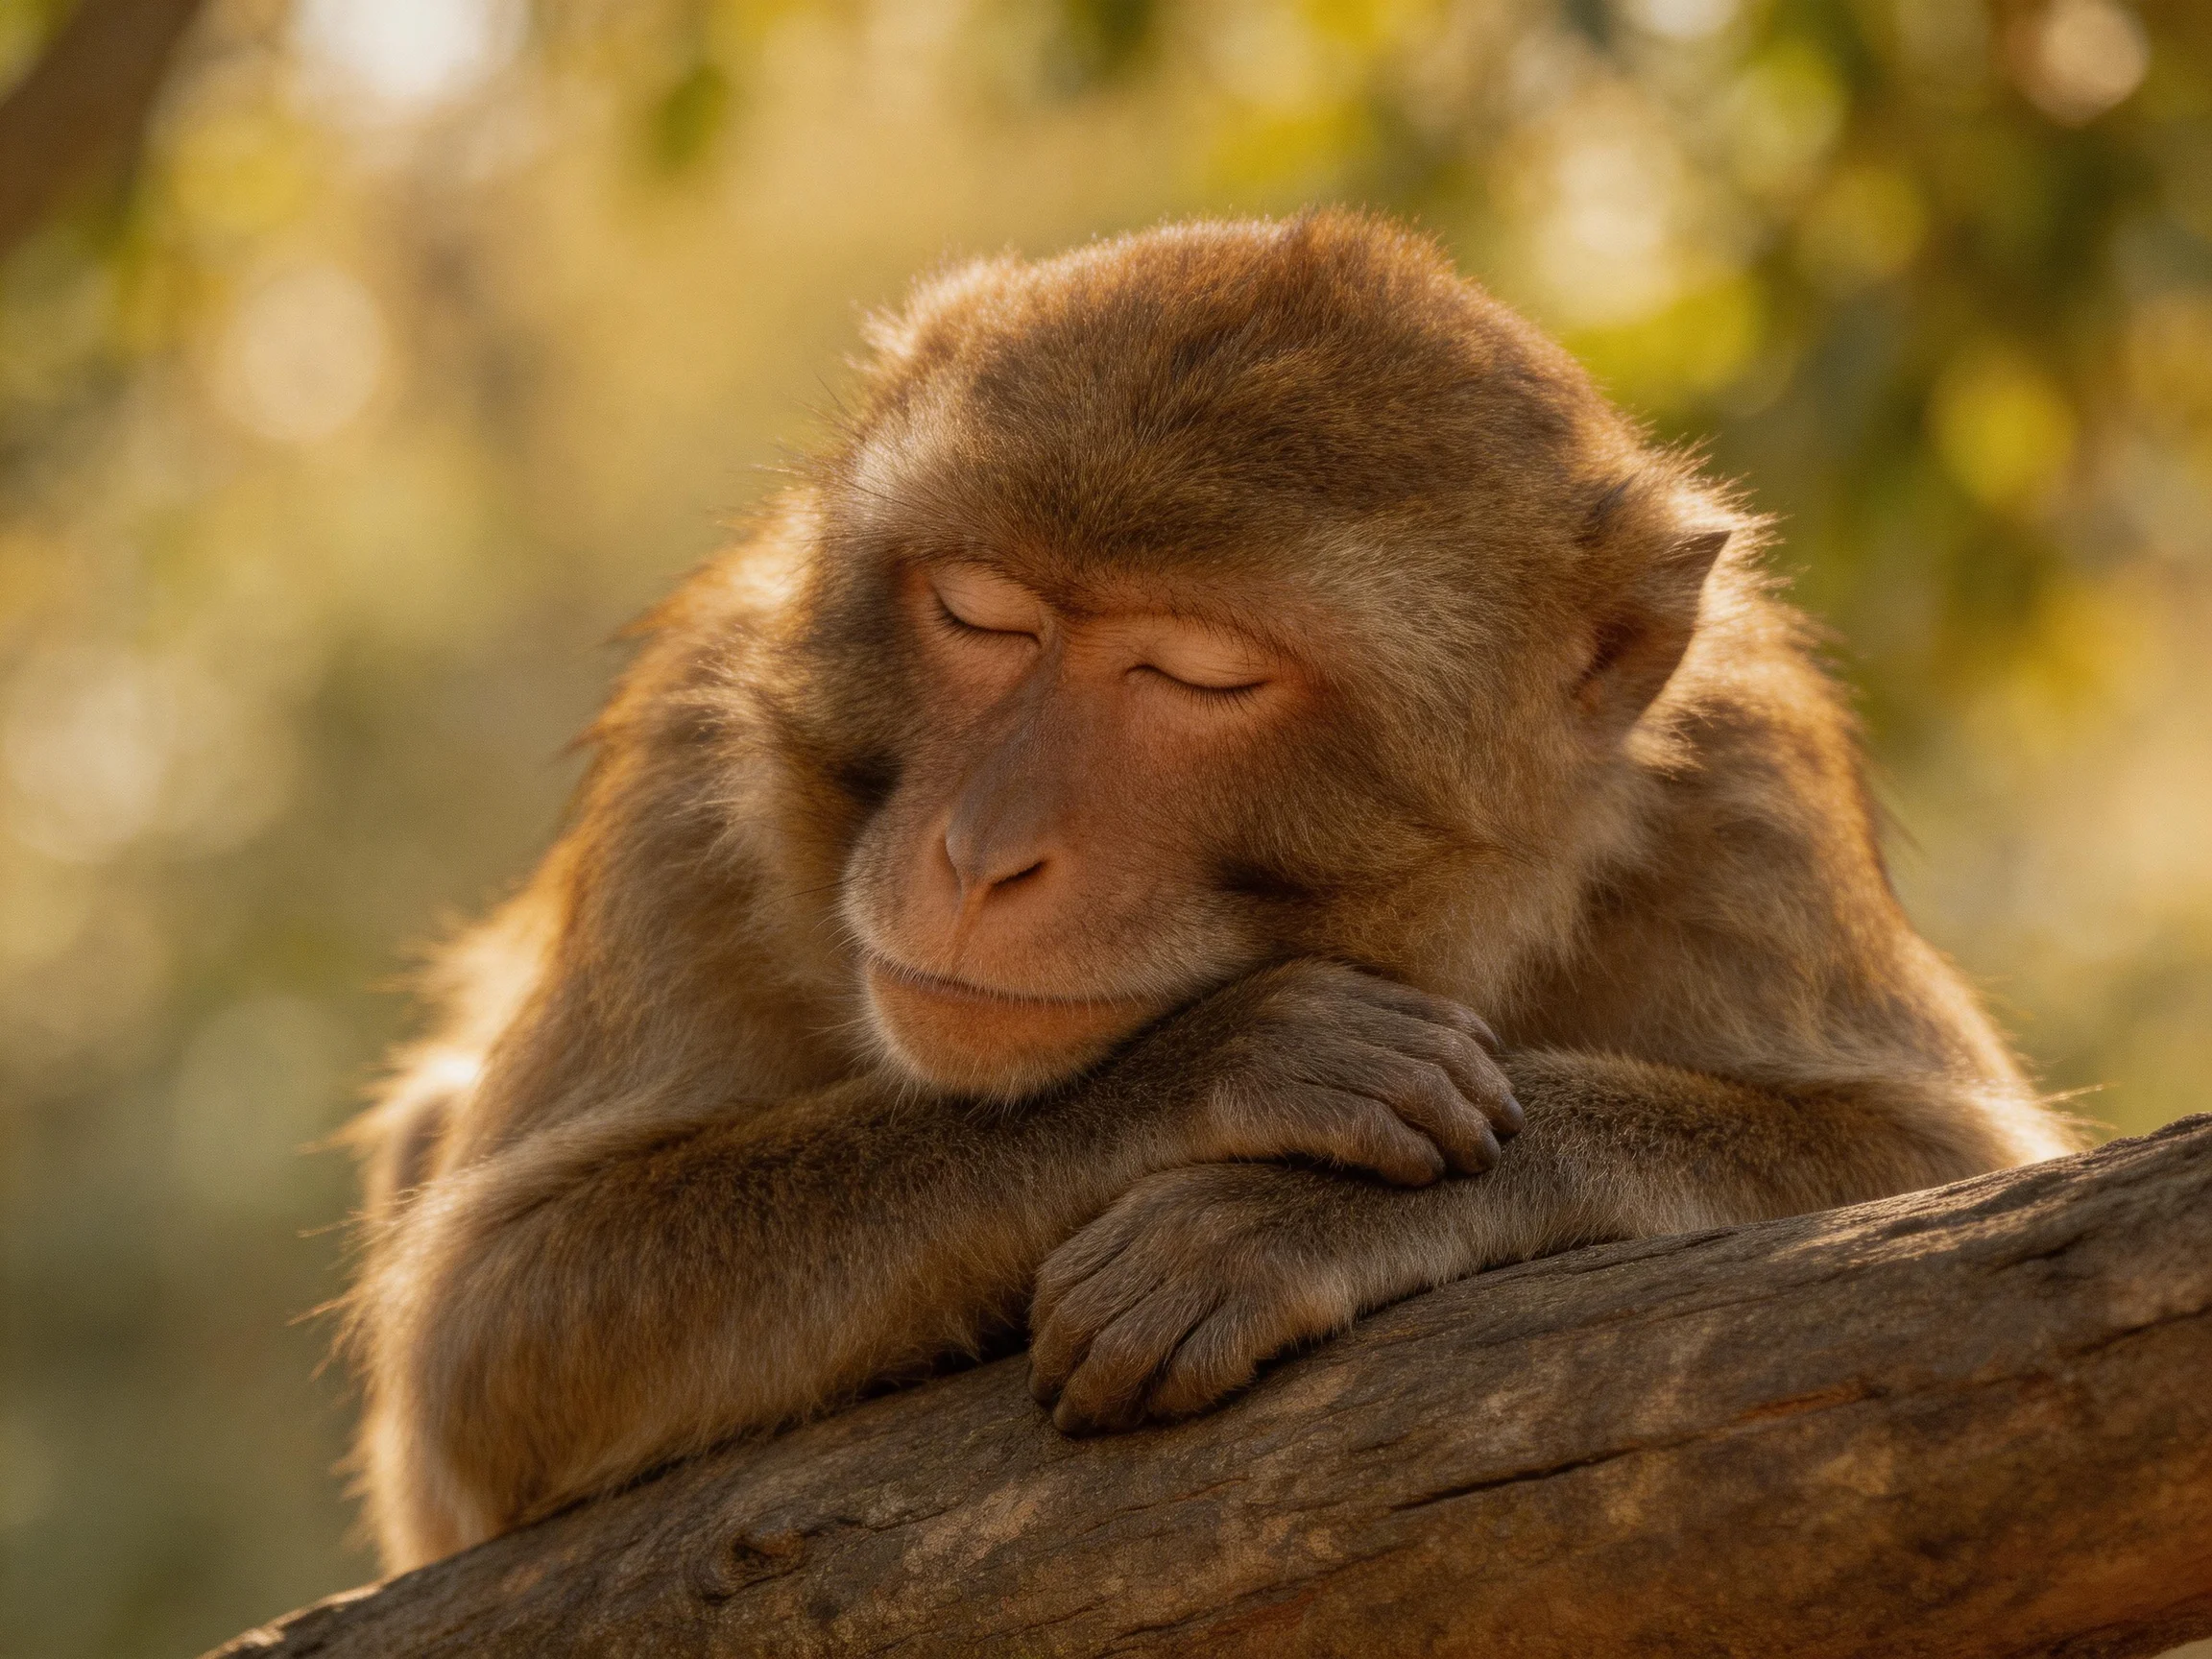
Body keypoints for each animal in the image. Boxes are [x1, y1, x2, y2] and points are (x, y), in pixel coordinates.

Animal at [340, 210, 2076, 1573]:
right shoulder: (704, 741)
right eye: (979, 610)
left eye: (1198, 672)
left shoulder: (1742, 785)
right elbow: (491, 1319)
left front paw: (1275, 1216)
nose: (979, 852)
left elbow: (1933, 1164)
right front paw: (1227, 1067)